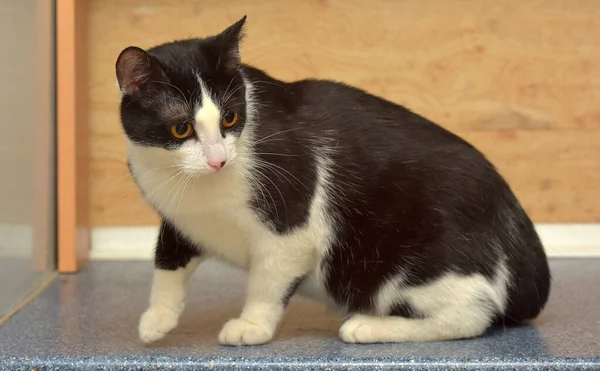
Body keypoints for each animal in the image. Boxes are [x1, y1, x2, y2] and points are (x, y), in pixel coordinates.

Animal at [115, 16, 552, 348]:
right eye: (181, 128)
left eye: (230, 119)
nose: (219, 159)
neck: (199, 188)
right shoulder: (180, 218)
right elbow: (167, 260)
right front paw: (157, 317)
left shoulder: (290, 226)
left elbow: (268, 282)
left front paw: (253, 325)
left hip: (408, 260)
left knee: (473, 313)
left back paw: (369, 326)